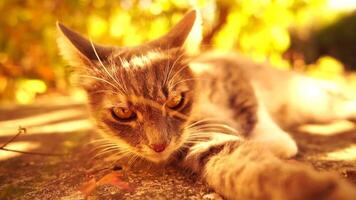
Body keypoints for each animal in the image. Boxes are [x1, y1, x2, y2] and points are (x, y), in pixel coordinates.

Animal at [57, 10, 356, 200]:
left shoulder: (232, 73)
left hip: (317, 95)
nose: (159, 146)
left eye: (175, 100)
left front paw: (274, 140)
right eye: (123, 112)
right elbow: (244, 165)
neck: (203, 104)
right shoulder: (202, 142)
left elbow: (252, 109)